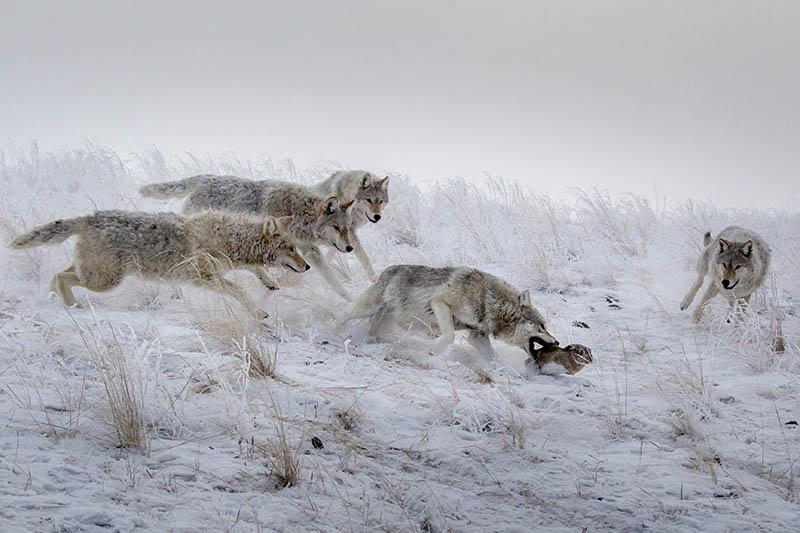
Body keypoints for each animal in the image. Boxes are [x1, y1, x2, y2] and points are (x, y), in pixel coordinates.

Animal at [9, 208, 310, 318]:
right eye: (291, 249)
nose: (307, 267)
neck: (225, 239)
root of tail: (88, 218)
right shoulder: (204, 278)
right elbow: (240, 290)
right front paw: (257, 313)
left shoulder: (224, 268)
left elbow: (255, 269)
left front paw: (270, 282)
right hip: (105, 281)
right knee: (61, 277)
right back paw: (73, 306)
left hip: (94, 273)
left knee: (58, 275)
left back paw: (55, 299)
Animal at [142, 175, 358, 300]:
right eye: (337, 228)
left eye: (347, 229)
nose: (350, 248)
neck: (297, 213)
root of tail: (201, 178)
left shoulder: (307, 250)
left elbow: (332, 279)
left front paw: (350, 298)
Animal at [346, 262, 560, 358]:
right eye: (542, 326)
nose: (557, 342)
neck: (488, 300)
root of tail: (385, 271)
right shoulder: (440, 303)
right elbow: (448, 336)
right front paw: (433, 351)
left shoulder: (477, 336)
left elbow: (494, 358)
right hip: (365, 309)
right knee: (343, 316)